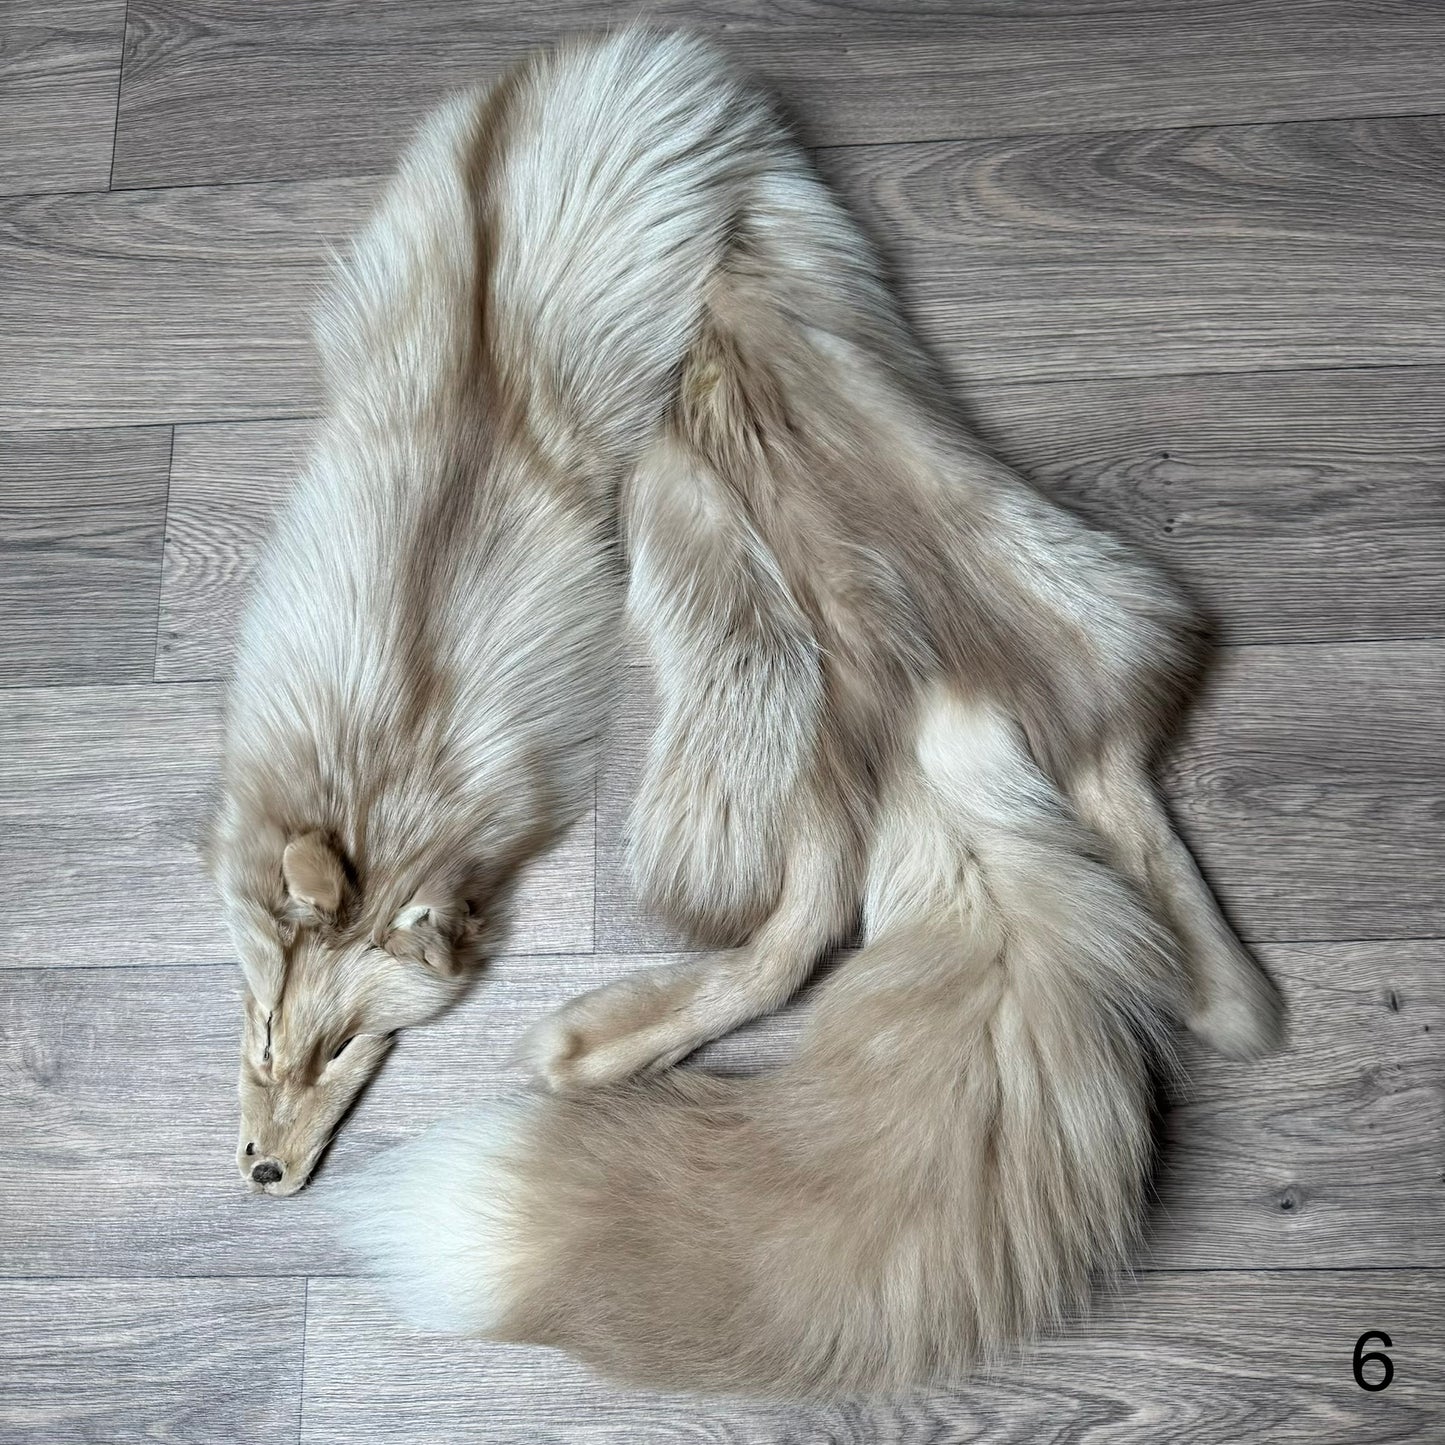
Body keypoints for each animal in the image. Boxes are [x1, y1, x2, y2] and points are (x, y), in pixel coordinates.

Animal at [332, 31, 1284, 1395]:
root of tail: (936, 711)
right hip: (1074, 630)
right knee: (1114, 835)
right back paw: (1223, 991)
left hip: (826, 734)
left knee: (805, 926)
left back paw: (591, 1046)